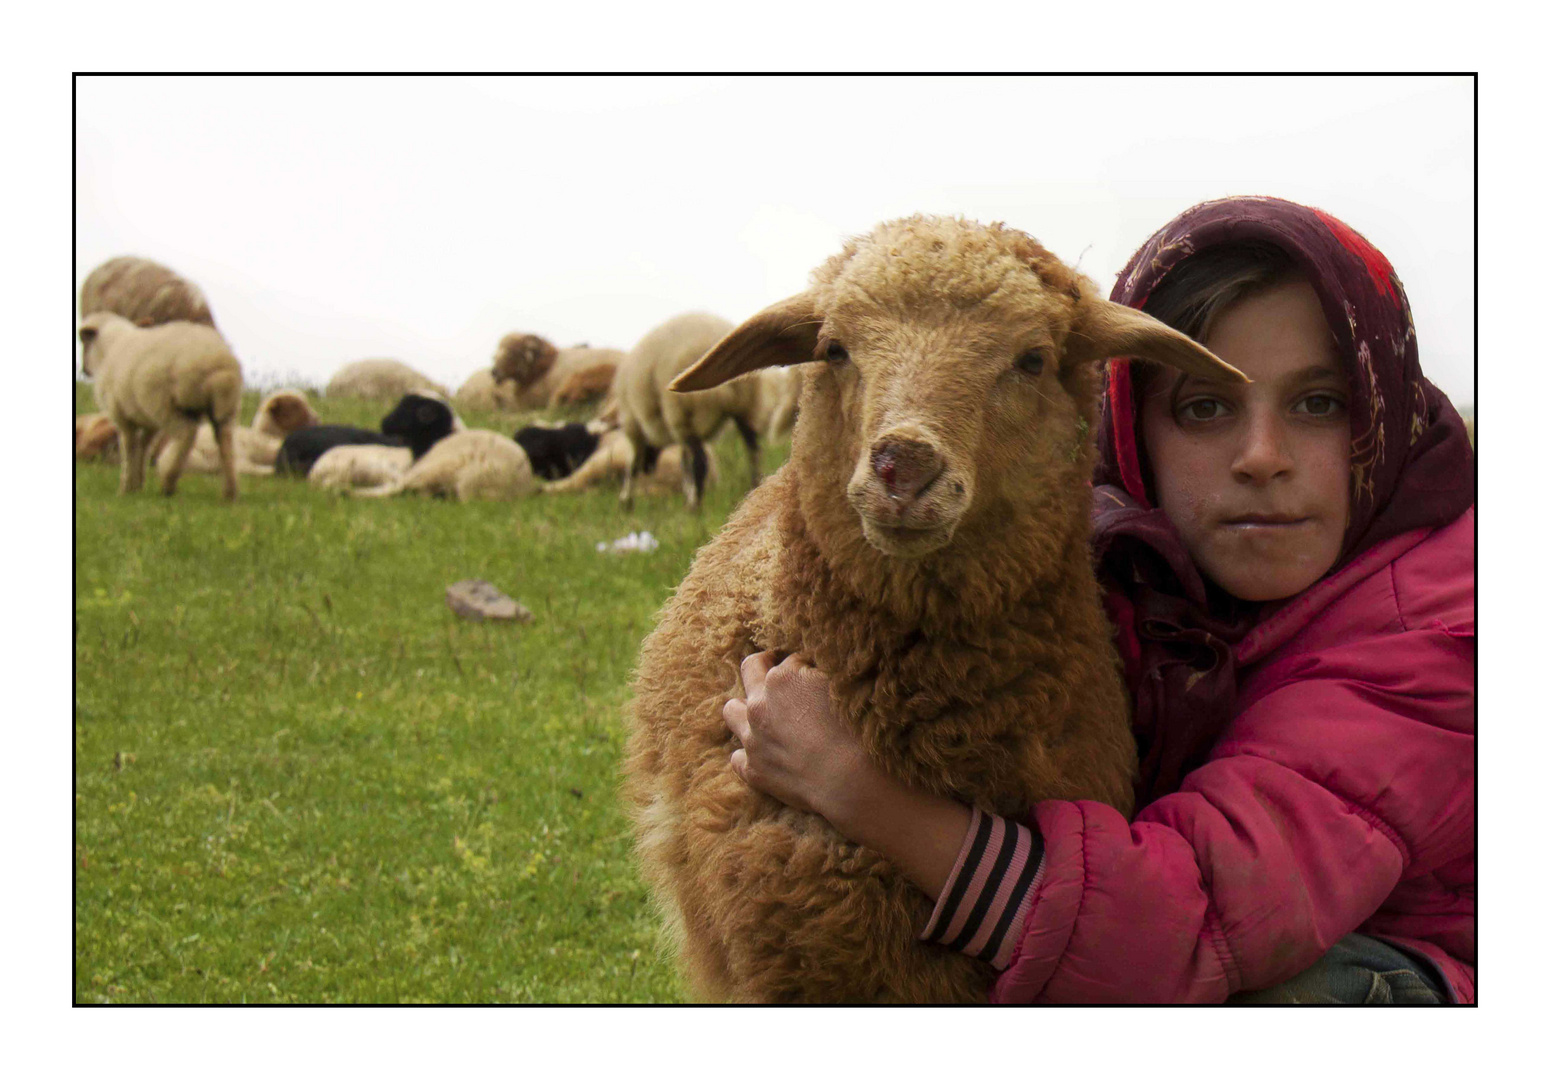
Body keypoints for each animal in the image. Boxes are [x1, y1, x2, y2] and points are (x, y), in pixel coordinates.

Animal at [607, 311, 799, 505]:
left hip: (688, 411)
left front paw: (626, 500)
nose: (648, 468)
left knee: (700, 462)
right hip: (745, 408)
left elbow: (633, 465)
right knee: (753, 450)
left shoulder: (635, 424)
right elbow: (684, 462)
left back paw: (695, 506)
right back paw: (753, 486)